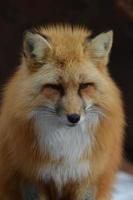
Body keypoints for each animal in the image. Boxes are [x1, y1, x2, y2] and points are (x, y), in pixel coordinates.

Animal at [0, 25, 124, 200]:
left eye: (84, 86)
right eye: (55, 87)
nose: (74, 117)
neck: (65, 147)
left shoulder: (86, 177)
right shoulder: (31, 176)